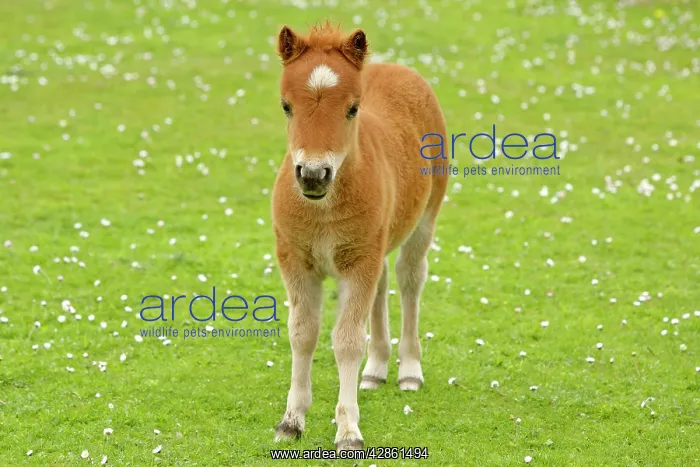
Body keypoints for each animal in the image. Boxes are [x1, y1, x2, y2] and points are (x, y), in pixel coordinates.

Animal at [271, 22, 448, 451]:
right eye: (286, 105)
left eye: (353, 108)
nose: (313, 175)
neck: (322, 210)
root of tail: (400, 68)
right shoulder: (295, 259)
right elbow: (302, 334)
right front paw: (291, 420)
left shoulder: (358, 262)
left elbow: (347, 339)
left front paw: (348, 429)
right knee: (383, 282)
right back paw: (376, 369)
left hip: (424, 219)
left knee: (409, 278)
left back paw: (409, 370)